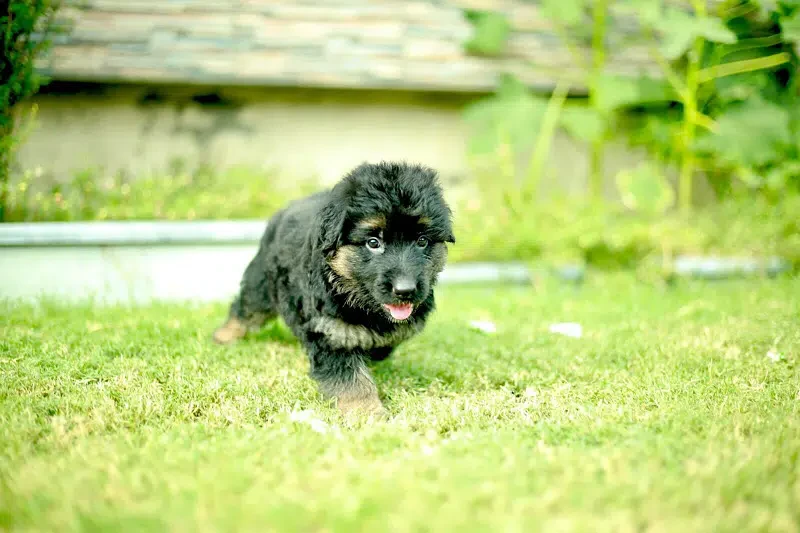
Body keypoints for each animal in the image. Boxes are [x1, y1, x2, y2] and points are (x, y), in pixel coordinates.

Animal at [212, 161, 454, 416]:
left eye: (422, 241)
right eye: (373, 243)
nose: (405, 290)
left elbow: (388, 340)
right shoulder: (331, 333)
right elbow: (351, 379)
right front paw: (367, 413)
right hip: (261, 285)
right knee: (245, 308)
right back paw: (223, 336)